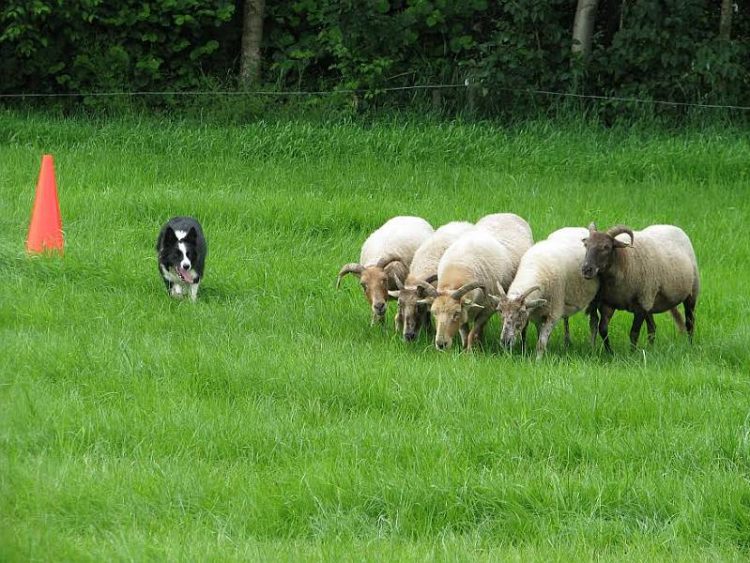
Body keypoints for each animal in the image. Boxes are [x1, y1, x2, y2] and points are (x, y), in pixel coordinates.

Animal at [418, 214, 536, 350]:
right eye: (434, 312)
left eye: (456, 313)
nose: (441, 344)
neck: (459, 266)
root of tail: (506, 214)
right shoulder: (465, 312)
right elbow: (465, 333)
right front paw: (465, 348)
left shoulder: (488, 309)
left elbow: (473, 332)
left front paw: (470, 351)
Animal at [494, 227, 600, 360]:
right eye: (499, 311)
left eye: (522, 312)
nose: (505, 342)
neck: (534, 269)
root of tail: (578, 228)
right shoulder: (538, 314)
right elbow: (541, 336)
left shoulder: (553, 313)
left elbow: (541, 342)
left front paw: (538, 360)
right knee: (566, 319)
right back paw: (567, 343)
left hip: (594, 297)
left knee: (594, 322)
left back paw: (592, 349)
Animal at [584, 224, 704, 352]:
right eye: (586, 245)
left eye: (606, 247)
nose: (586, 269)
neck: (625, 261)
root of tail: (672, 226)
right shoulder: (608, 304)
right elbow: (603, 329)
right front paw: (610, 353)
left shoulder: (641, 305)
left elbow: (634, 333)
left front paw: (631, 354)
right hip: (650, 300)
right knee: (652, 328)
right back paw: (651, 350)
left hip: (690, 293)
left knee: (690, 323)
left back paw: (690, 346)